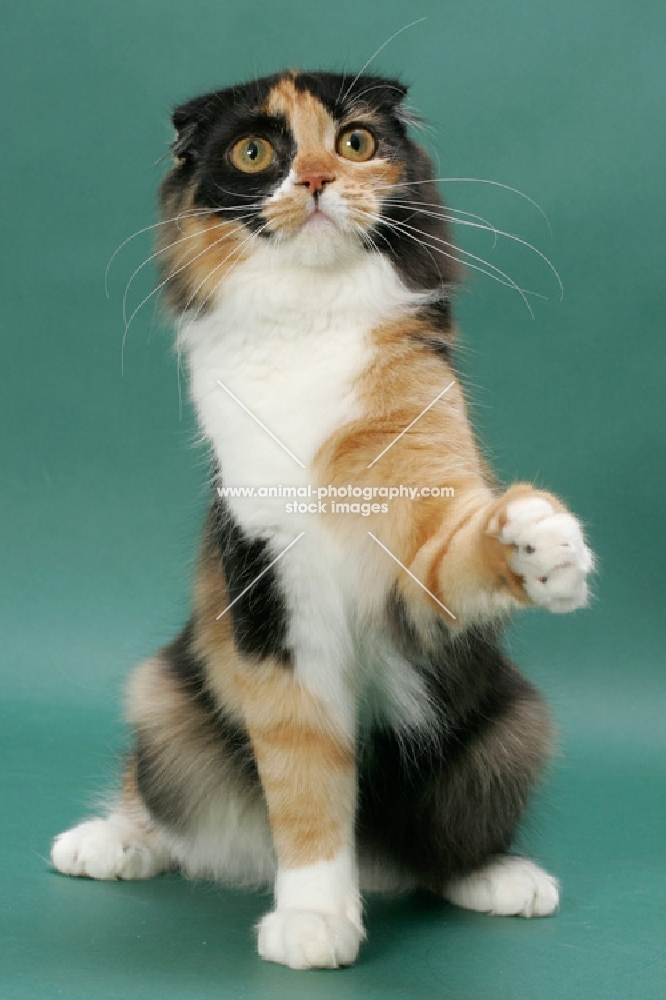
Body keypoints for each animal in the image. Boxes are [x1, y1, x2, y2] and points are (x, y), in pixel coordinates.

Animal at [52, 70, 592, 968]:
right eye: (253, 152)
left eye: (356, 143)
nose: (312, 181)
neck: (311, 321)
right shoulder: (271, 591)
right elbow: (304, 769)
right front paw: (314, 919)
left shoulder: (415, 532)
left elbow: (456, 550)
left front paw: (535, 542)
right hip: (161, 696)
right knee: (170, 806)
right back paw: (109, 840)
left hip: (515, 728)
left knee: (451, 843)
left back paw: (499, 877)